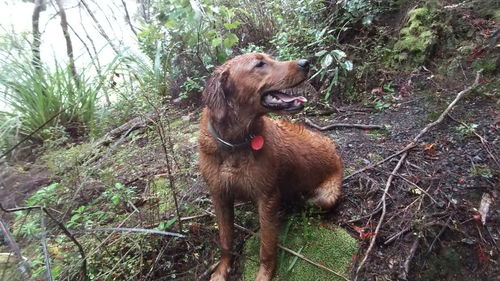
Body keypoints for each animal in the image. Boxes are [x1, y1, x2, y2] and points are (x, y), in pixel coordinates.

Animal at [199, 53, 344, 280]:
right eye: (260, 64)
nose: (305, 63)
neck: (235, 144)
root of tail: (335, 152)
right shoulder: (219, 195)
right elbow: (225, 239)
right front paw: (222, 270)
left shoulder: (266, 198)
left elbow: (266, 246)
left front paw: (264, 275)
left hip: (324, 197)